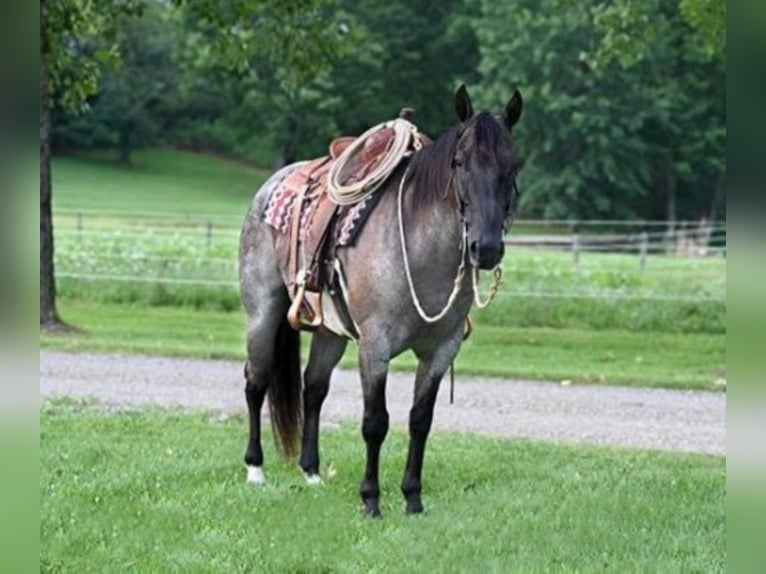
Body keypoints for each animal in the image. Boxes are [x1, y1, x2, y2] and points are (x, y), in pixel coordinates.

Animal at [240, 84, 524, 516]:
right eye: (460, 162)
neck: (424, 256)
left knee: (313, 388)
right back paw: (255, 470)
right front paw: (371, 500)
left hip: (330, 333)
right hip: (262, 312)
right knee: (256, 382)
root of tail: (273, 182)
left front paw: (413, 498)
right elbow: (375, 422)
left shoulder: (442, 349)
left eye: (514, 166)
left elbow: (420, 420)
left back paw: (312, 472)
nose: (487, 248)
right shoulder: (375, 345)